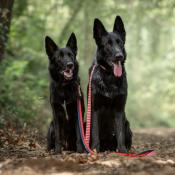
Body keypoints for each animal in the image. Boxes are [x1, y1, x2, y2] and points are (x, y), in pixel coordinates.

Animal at [89, 15, 132, 152]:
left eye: (120, 42)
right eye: (107, 44)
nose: (119, 56)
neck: (109, 77)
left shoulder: (119, 109)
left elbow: (120, 133)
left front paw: (122, 151)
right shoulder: (94, 109)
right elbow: (95, 132)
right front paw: (94, 150)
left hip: (127, 124)